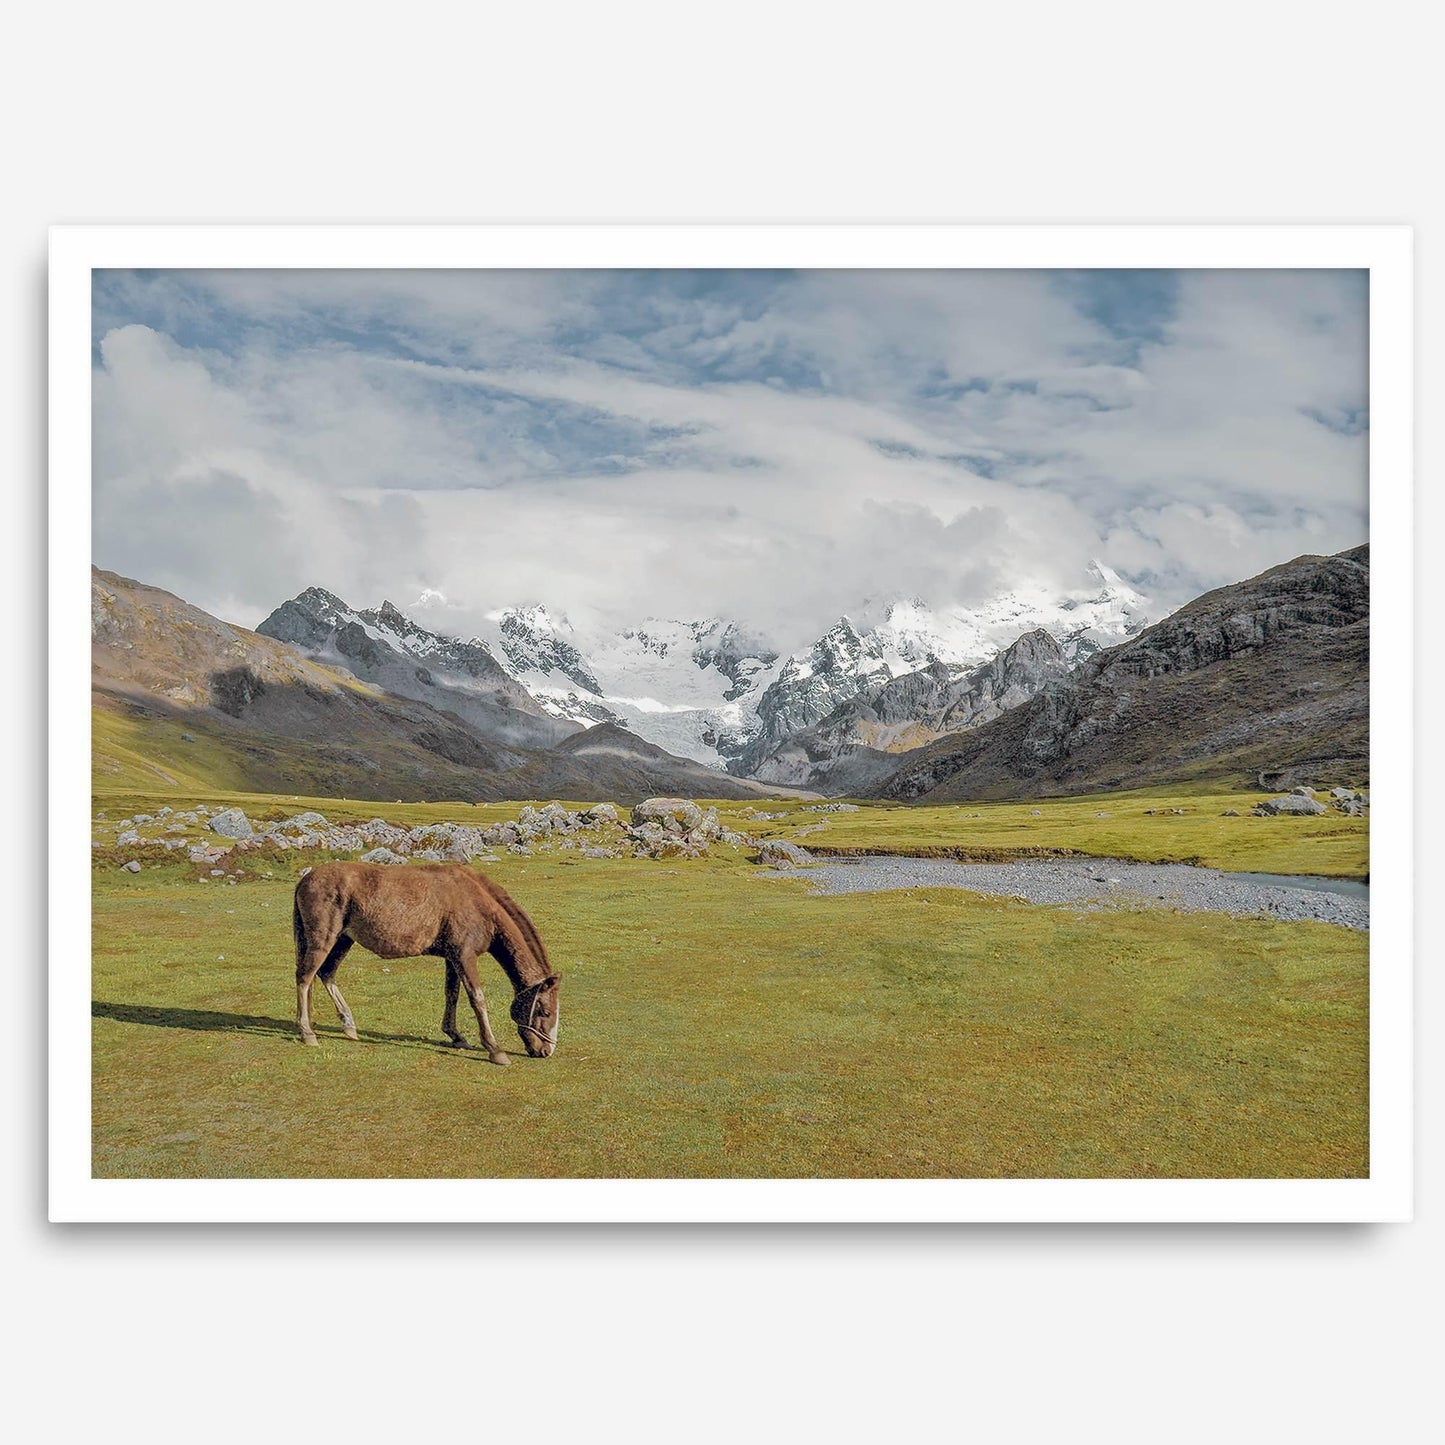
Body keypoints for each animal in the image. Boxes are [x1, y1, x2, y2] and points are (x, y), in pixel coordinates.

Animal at [291, 861, 560, 1065]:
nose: (546, 1051)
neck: (479, 904)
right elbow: (477, 999)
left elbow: (452, 994)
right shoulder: (465, 956)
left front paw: (456, 1036)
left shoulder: (453, 958)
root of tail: (305, 879)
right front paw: (495, 1050)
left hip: (343, 940)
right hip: (323, 939)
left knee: (326, 974)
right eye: (545, 1011)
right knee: (305, 978)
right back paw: (307, 1032)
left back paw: (348, 1025)